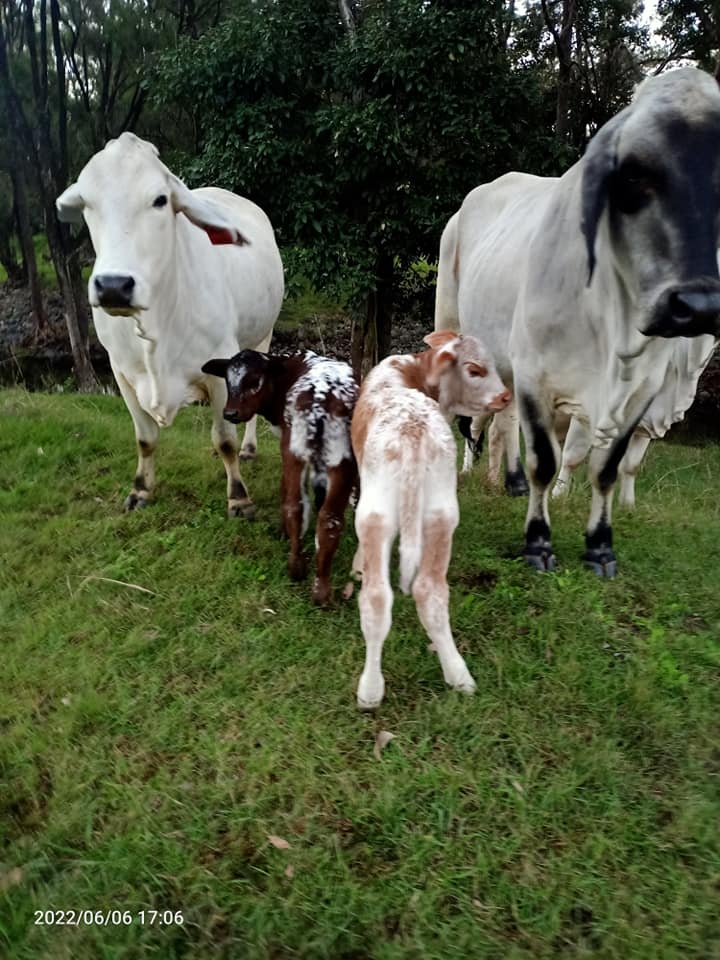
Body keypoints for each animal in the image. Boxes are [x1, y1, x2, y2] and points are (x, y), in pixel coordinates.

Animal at [56, 132, 284, 517]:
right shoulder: (121, 373)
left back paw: (249, 448)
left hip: (262, 335)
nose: (113, 285)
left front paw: (239, 496)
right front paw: (141, 490)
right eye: (87, 202)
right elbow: (145, 438)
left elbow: (225, 440)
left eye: (160, 200)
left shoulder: (219, 369)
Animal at [435, 67, 720, 576]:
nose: (698, 304)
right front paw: (538, 541)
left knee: (503, 422)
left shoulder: (639, 394)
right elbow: (548, 462)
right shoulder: (537, 377)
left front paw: (601, 546)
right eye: (633, 174)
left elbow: (609, 468)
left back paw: (507, 481)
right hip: (454, 324)